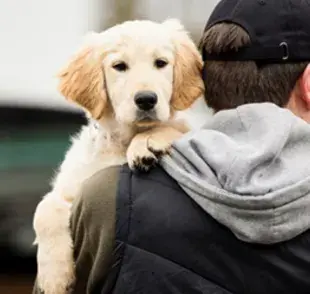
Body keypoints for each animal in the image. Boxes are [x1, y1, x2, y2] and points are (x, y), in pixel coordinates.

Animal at [33, 19, 203, 294]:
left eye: (161, 63)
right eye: (119, 66)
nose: (146, 99)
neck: (122, 141)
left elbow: (174, 128)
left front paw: (147, 143)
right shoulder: (73, 187)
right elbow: (44, 209)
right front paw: (54, 277)